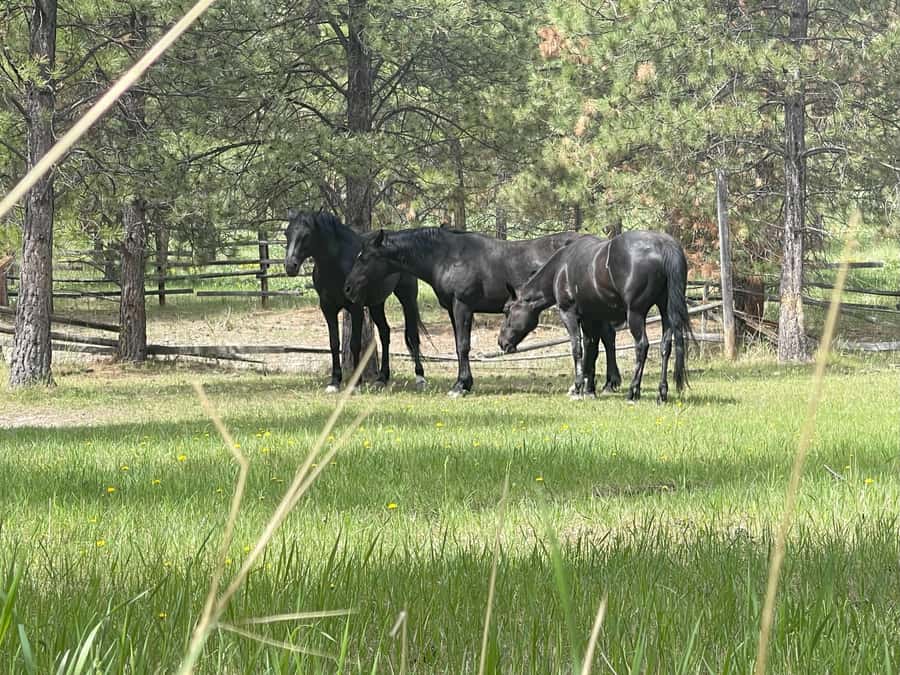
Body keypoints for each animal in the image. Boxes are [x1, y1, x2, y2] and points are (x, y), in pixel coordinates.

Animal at [284, 209, 426, 392]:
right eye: (287, 233)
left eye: (307, 235)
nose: (290, 266)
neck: (336, 264)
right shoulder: (327, 308)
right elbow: (334, 343)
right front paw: (334, 382)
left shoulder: (356, 307)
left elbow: (354, 344)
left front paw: (355, 384)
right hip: (376, 304)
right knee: (385, 333)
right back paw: (382, 378)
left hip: (407, 298)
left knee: (413, 336)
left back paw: (420, 377)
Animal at [342, 226, 586, 397]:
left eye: (365, 258)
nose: (348, 288)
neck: (447, 257)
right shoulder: (453, 309)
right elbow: (459, 345)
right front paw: (463, 382)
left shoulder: (463, 307)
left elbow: (463, 346)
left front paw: (461, 386)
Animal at [498, 231, 690, 403]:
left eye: (507, 310)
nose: (502, 342)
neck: (562, 267)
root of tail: (663, 245)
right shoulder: (592, 318)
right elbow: (592, 350)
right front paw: (589, 389)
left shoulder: (569, 314)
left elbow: (578, 349)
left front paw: (577, 388)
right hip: (666, 312)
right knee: (665, 347)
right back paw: (661, 393)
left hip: (636, 314)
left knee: (642, 346)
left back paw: (633, 392)